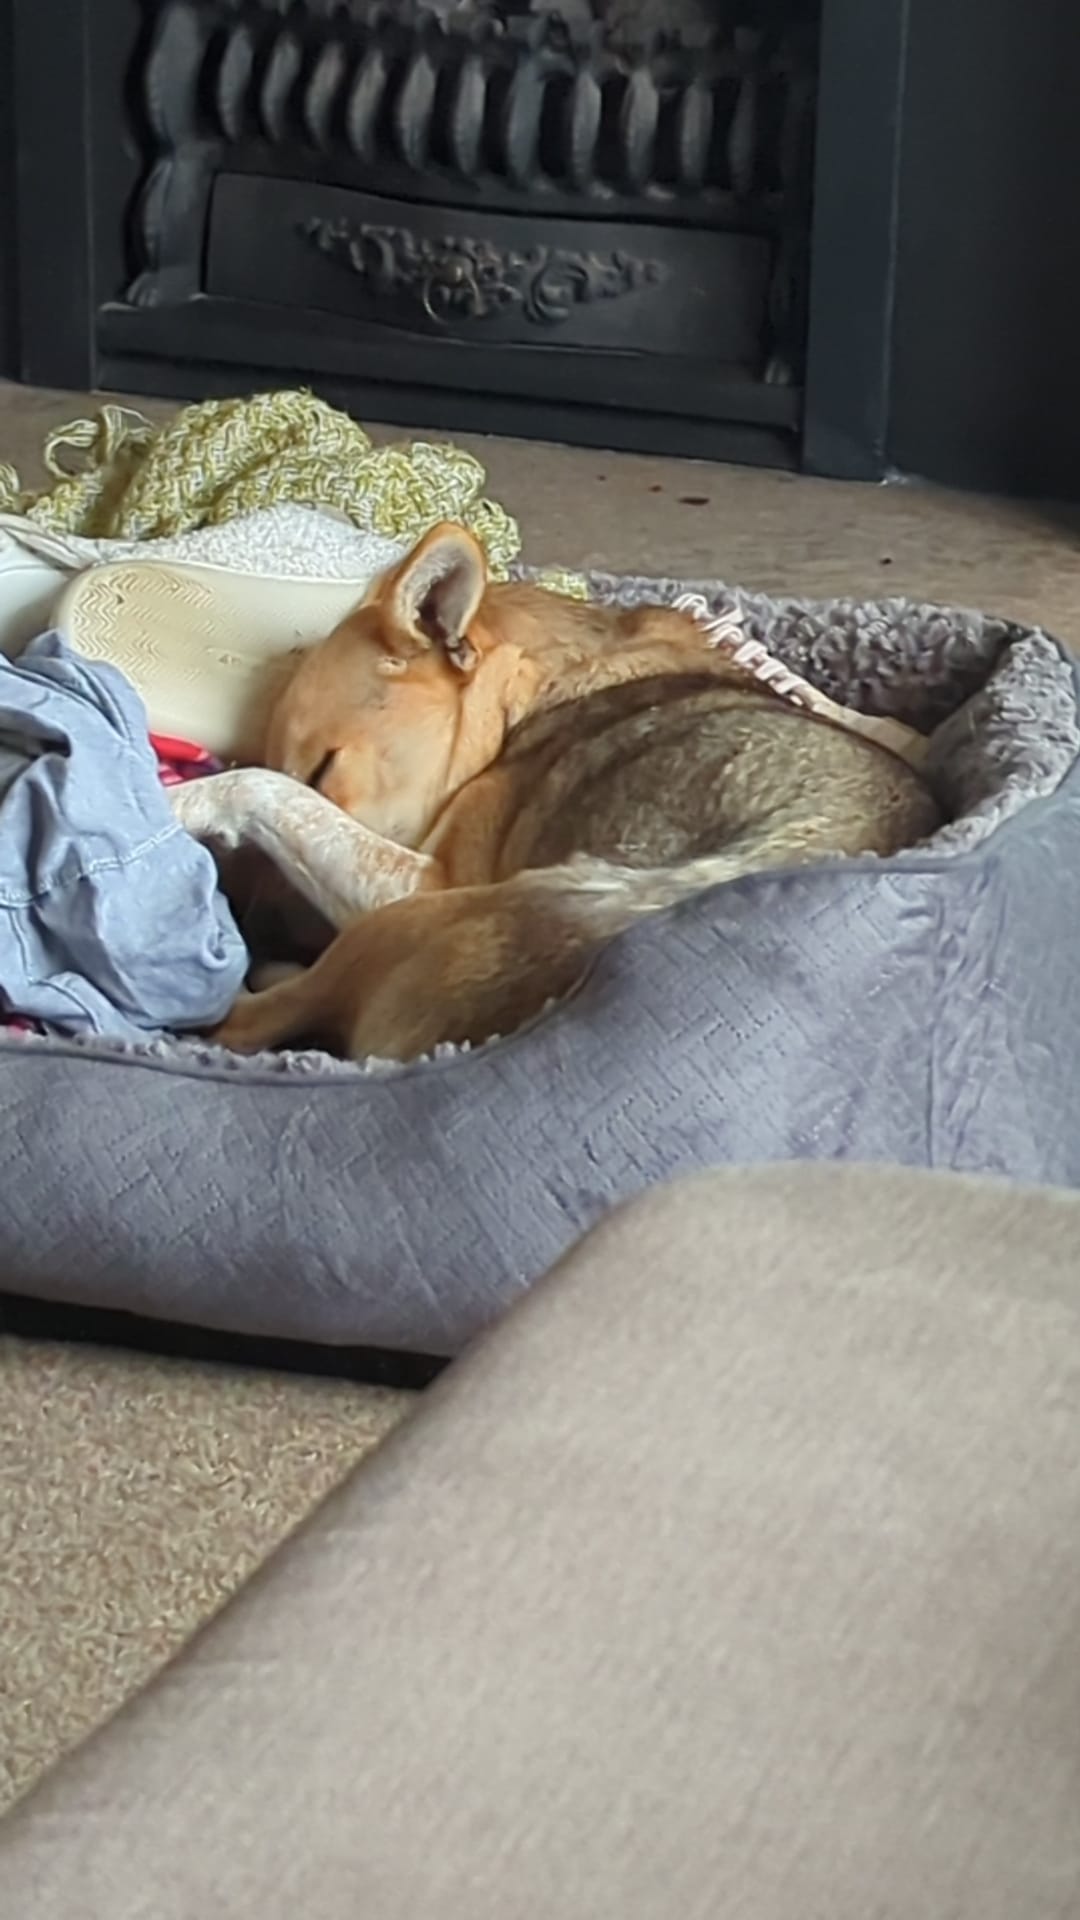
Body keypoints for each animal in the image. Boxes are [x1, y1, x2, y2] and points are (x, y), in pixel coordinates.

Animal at [174, 523, 941, 1061]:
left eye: (326, 768)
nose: (255, 915)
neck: (532, 689)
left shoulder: (422, 880)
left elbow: (268, 794)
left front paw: (189, 803)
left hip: (408, 922)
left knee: (239, 1024)